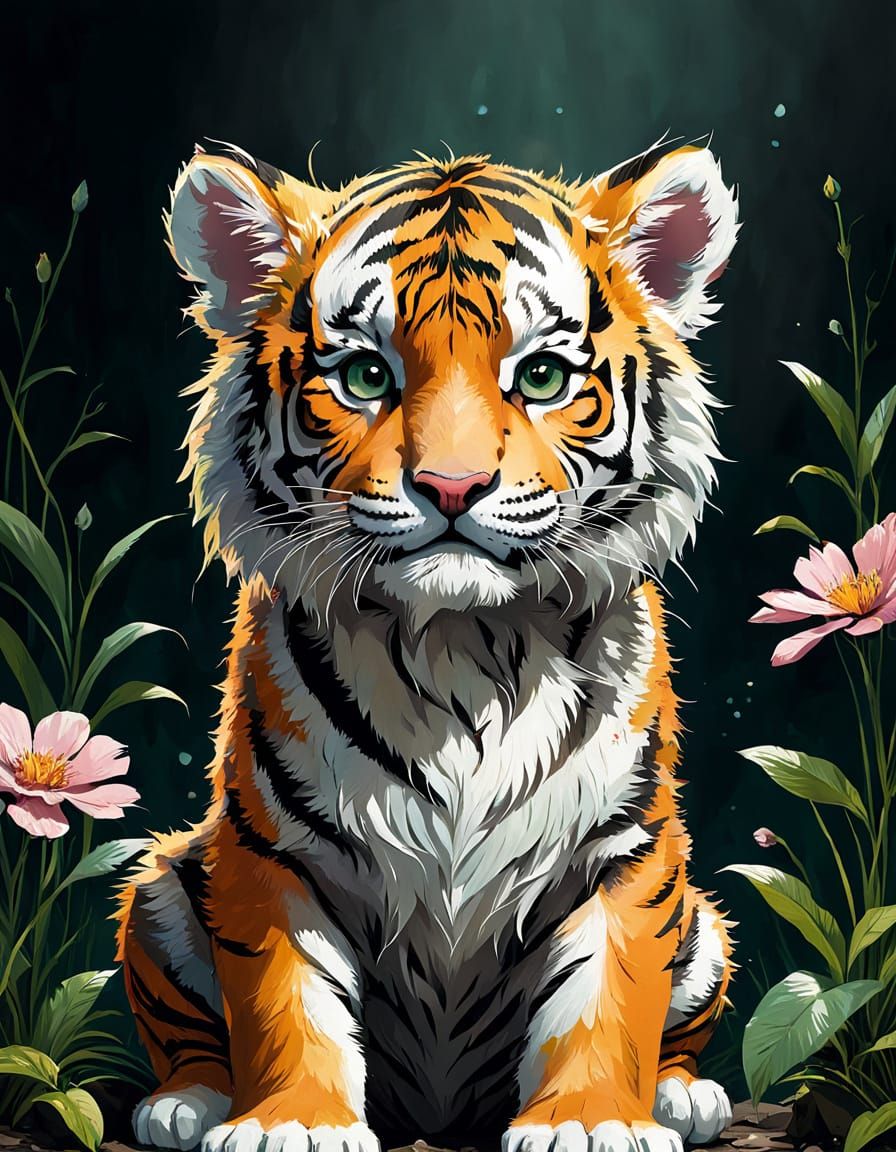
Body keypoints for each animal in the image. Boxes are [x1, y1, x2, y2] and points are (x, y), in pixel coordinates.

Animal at [117, 137, 739, 1152]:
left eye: (542, 377)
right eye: (367, 377)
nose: (451, 487)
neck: (464, 647)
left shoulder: (625, 848)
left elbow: (607, 994)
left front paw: (591, 1120)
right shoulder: (273, 853)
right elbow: (286, 1000)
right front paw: (294, 1124)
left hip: (706, 922)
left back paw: (684, 1097)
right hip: (164, 878)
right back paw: (186, 1102)